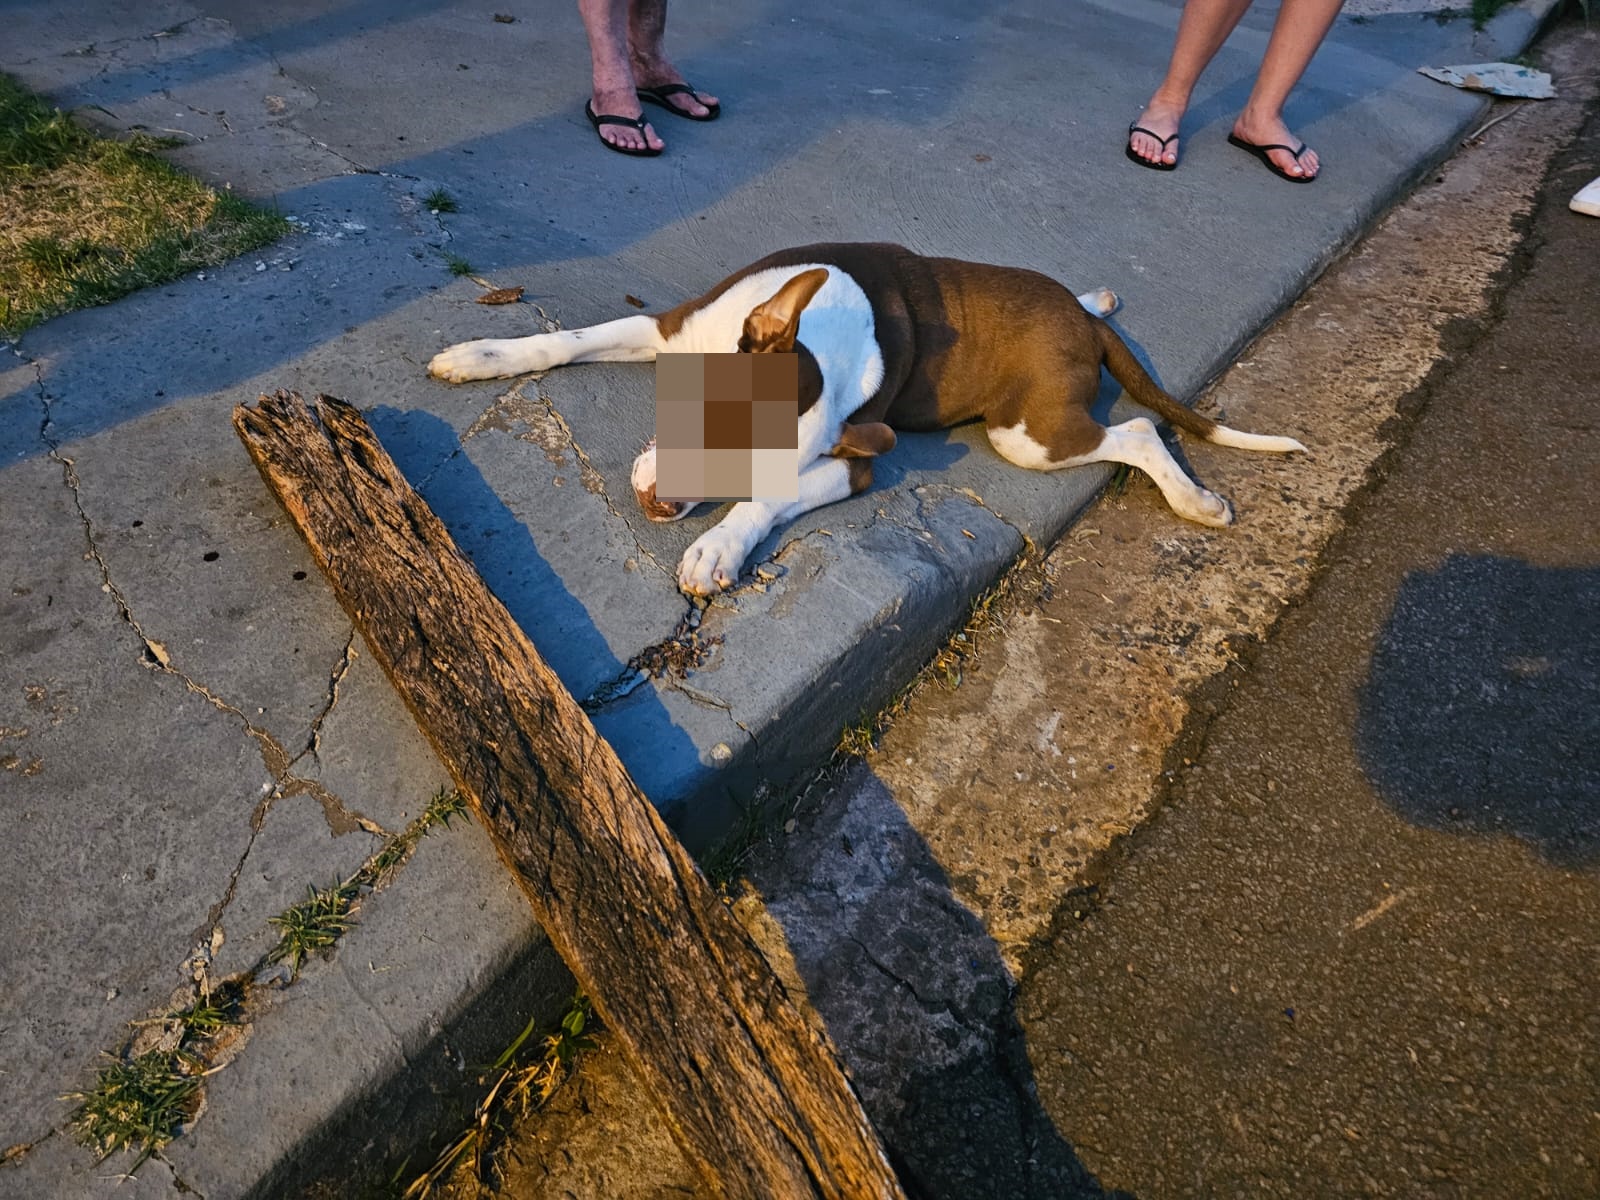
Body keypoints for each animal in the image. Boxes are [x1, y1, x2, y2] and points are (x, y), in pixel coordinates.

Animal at [432, 243, 1305, 598]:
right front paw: (480, 354)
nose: (660, 507)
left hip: (1027, 433)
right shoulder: (674, 329)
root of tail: (1083, 327)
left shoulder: (851, 461)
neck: (823, 332)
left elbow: (767, 503)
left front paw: (716, 548)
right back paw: (1099, 295)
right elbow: (566, 339)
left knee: (1138, 432)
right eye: (703, 416)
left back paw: (1193, 499)